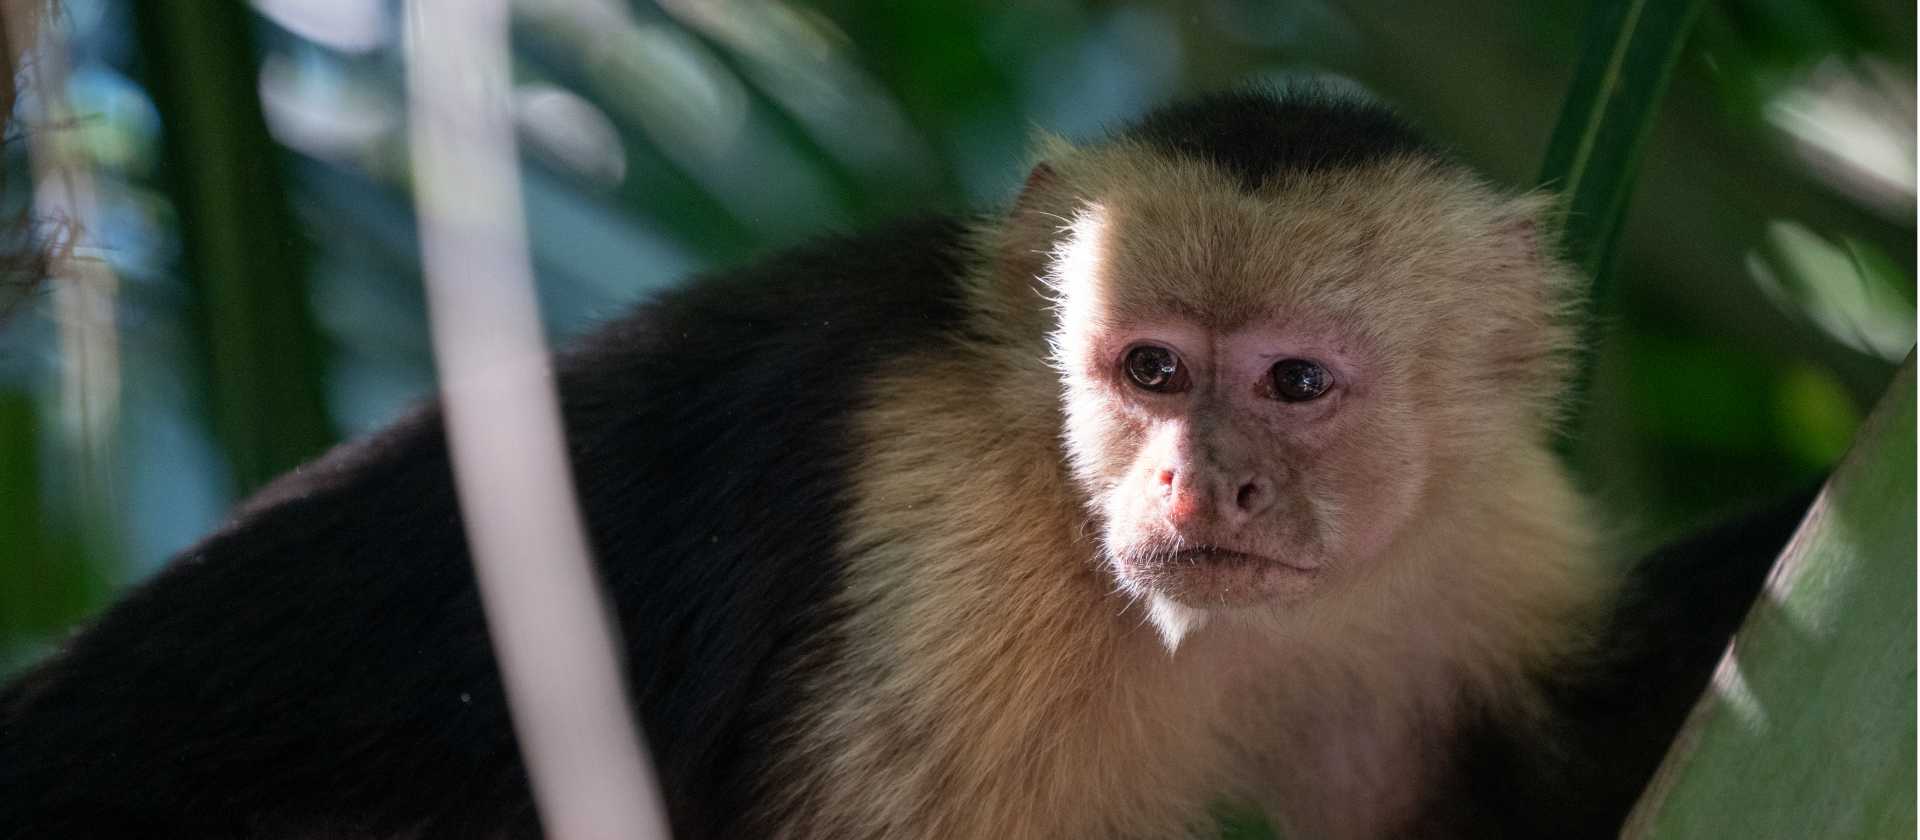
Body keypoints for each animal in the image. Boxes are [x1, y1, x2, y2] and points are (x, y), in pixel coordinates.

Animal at [0, 88, 1809, 839]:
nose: (1190, 486)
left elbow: (1519, 792)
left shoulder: (1479, 539)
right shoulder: (950, 546)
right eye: (1148, 369)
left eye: (1296, 384)